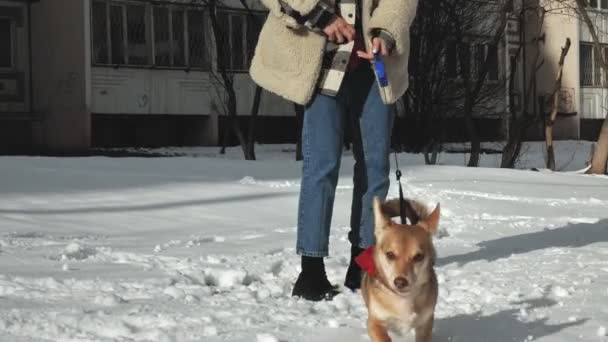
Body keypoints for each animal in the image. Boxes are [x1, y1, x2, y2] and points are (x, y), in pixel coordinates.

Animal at [358, 196, 440, 342]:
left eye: (418, 256)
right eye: (390, 254)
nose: (400, 282)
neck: (403, 299)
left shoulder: (425, 323)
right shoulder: (375, 322)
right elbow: (383, 337)